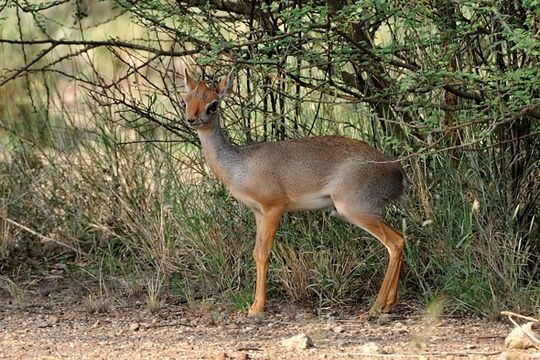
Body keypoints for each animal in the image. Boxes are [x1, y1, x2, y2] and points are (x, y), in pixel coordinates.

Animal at [179, 69, 408, 316]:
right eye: (185, 100)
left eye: (212, 104)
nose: (191, 120)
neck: (239, 164)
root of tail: (398, 172)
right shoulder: (258, 213)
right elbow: (256, 253)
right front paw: (255, 305)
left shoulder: (273, 208)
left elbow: (264, 254)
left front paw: (257, 307)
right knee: (401, 238)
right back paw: (389, 303)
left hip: (356, 209)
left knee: (395, 243)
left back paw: (376, 306)